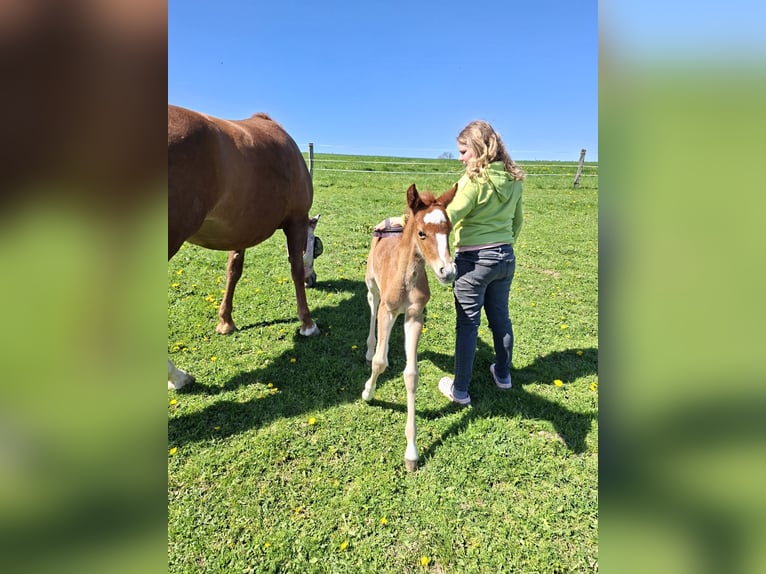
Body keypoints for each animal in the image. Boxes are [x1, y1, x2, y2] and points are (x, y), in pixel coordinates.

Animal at [168, 105, 321, 390]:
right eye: (316, 248)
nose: (313, 279)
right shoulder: (296, 220)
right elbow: (295, 268)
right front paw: (307, 323)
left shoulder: (238, 231)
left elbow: (233, 271)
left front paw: (225, 322)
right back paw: (178, 376)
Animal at [362, 183, 458, 471]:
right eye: (422, 233)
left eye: (449, 230)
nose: (448, 272)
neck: (406, 276)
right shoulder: (389, 310)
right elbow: (379, 362)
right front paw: (368, 391)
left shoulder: (415, 316)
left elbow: (411, 375)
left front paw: (411, 452)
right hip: (371, 285)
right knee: (372, 305)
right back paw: (369, 348)